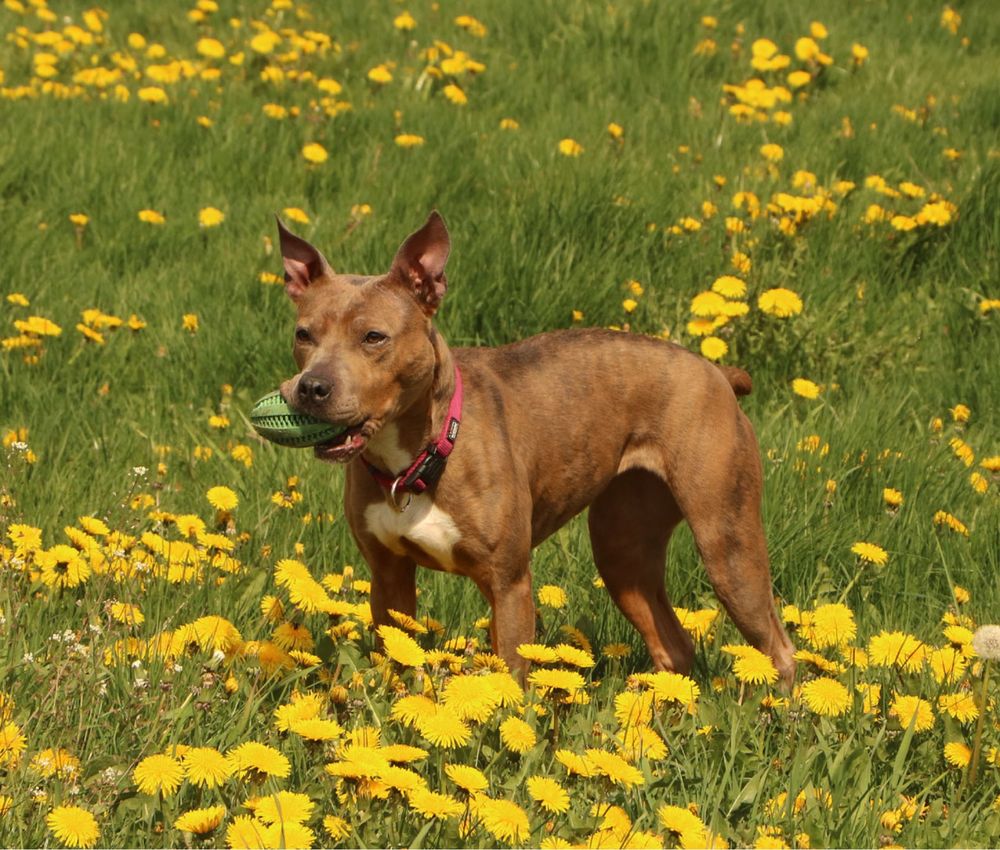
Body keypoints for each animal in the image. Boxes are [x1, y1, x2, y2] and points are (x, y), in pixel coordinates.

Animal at [278, 212, 792, 688]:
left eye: (373, 337)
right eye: (303, 335)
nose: (311, 388)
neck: (424, 454)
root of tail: (716, 372)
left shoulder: (508, 586)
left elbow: (510, 681)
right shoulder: (389, 580)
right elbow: (401, 662)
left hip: (727, 545)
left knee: (778, 647)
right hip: (623, 551)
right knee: (674, 645)